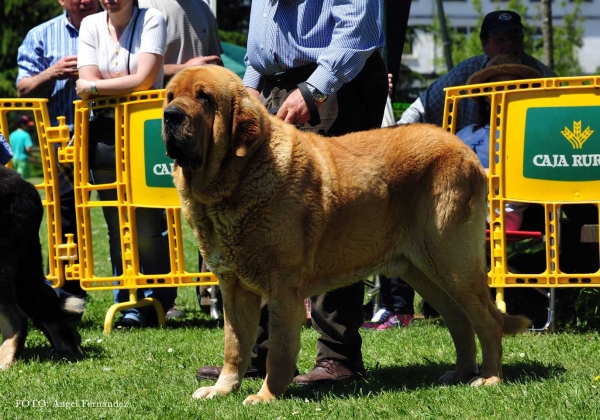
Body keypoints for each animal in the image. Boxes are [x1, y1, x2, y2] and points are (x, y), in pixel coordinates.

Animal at [161, 65, 528, 404]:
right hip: (425, 272)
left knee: (488, 320)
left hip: (454, 264)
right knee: (460, 321)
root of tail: (465, 150)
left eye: (204, 97)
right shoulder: (234, 288)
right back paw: (461, 373)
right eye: (170, 96)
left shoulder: (283, 290)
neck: (236, 178)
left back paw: (489, 378)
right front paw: (222, 389)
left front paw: (266, 396)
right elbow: (234, 346)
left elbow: (278, 350)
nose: (170, 115)